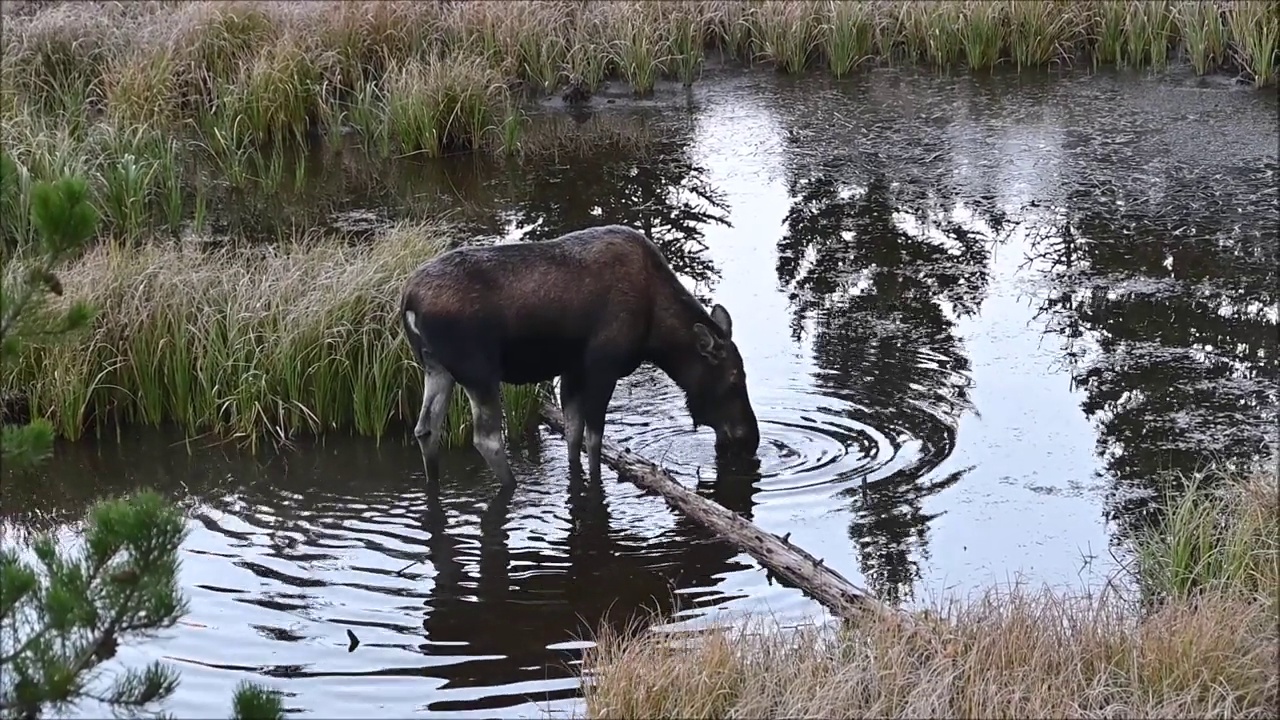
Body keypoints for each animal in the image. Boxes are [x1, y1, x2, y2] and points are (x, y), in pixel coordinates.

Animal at [399, 224, 757, 481]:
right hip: (478, 370)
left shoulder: (571, 369)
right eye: (734, 379)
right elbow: (593, 439)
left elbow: (573, 436)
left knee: (426, 429)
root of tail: (408, 300)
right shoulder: (602, 366)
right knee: (486, 439)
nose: (750, 438)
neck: (655, 335)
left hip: (436, 367)